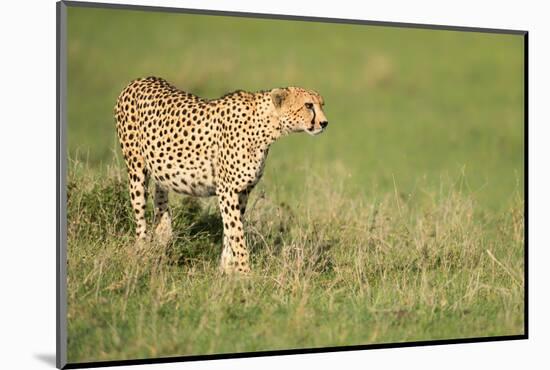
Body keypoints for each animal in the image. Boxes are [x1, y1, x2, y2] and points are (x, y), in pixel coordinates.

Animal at [112, 76, 328, 274]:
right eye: (308, 105)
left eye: (321, 104)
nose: (324, 123)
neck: (267, 126)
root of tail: (139, 80)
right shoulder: (227, 190)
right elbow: (236, 233)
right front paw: (245, 273)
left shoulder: (242, 191)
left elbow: (230, 231)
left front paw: (226, 270)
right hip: (136, 171)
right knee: (140, 218)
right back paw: (143, 253)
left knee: (160, 201)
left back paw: (163, 238)